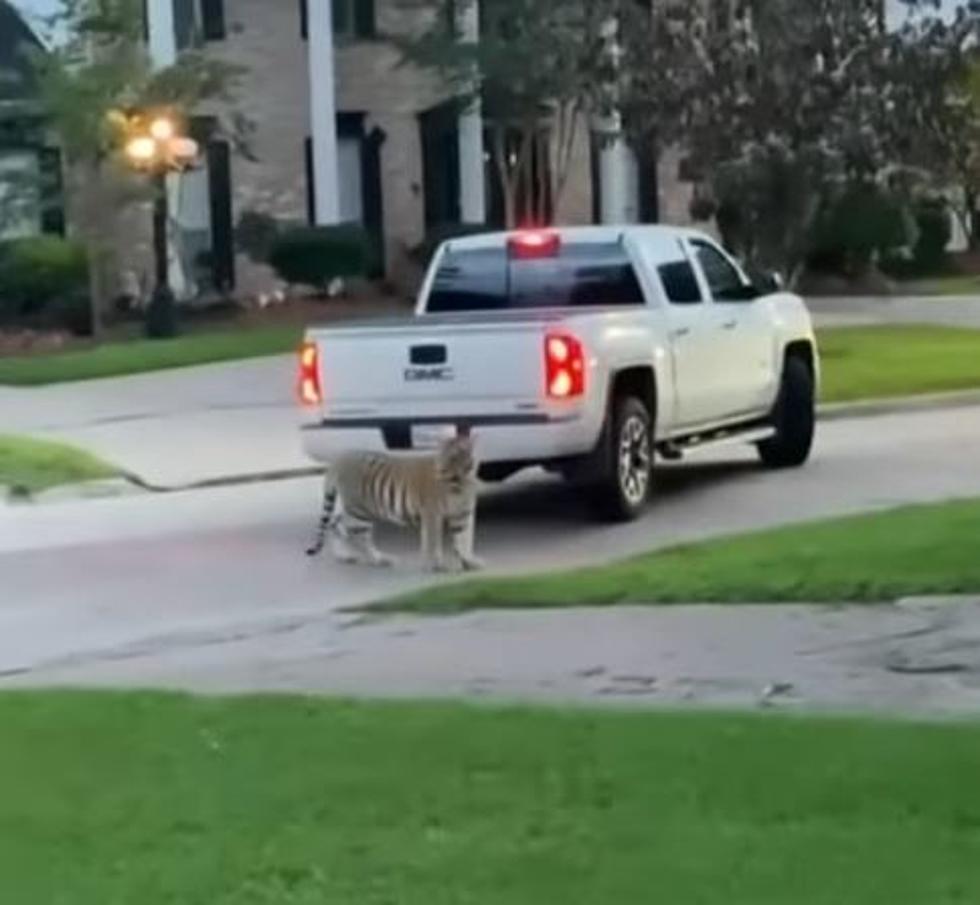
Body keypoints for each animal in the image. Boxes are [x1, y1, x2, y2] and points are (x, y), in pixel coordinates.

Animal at [302, 430, 478, 572]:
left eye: (456, 456)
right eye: (445, 456)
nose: (442, 470)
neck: (458, 484)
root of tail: (339, 459)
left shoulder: (461, 515)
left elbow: (462, 539)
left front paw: (469, 563)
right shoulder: (432, 514)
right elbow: (433, 541)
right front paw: (437, 566)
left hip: (355, 509)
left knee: (335, 523)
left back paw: (344, 556)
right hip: (360, 511)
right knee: (359, 536)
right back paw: (379, 559)